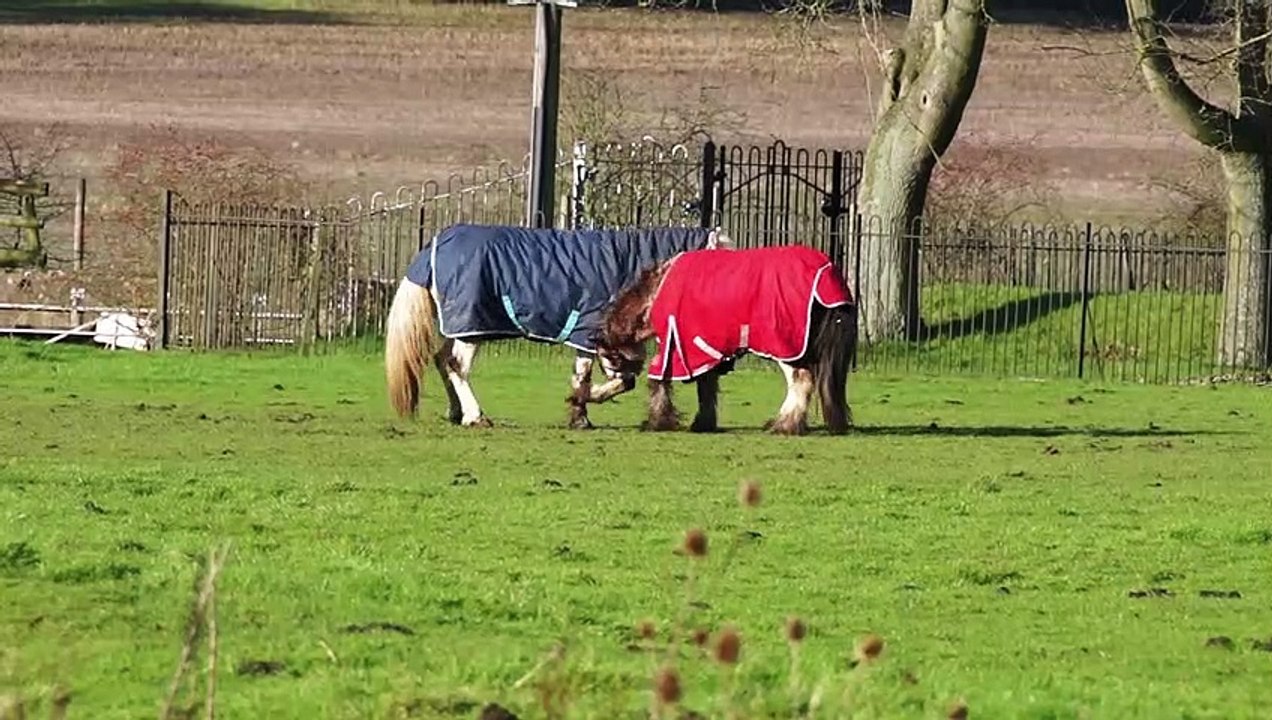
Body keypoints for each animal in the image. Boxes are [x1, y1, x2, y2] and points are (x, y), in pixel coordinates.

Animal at [384, 223, 731, 429]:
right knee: (456, 364)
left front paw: (580, 411)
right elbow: (600, 378)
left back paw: (456, 413)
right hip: (471, 326)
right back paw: (475, 416)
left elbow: (611, 379)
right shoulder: (591, 334)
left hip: (466, 326)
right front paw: (581, 406)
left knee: (442, 359)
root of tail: (433, 247)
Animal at [592, 244, 858, 436]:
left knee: (801, 381)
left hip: (787, 348)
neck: (655, 292)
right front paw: (703, 423)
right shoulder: (704, 351)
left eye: (607, 358)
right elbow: (706, 386)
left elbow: (659, 380)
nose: (597, 392)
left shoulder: (675, 345)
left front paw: (658, 421)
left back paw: (784, 425)